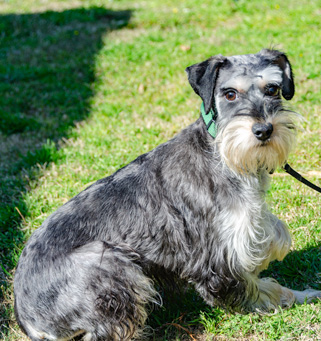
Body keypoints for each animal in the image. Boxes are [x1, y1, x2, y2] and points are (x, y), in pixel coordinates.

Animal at [13, 48, 318, 340]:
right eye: (230, 93)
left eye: (272, 89)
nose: (264, 130)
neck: (223, 154)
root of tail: (28, 319)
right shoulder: (219, 262)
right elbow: (263, 291)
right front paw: (305, 294)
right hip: (108, 261)